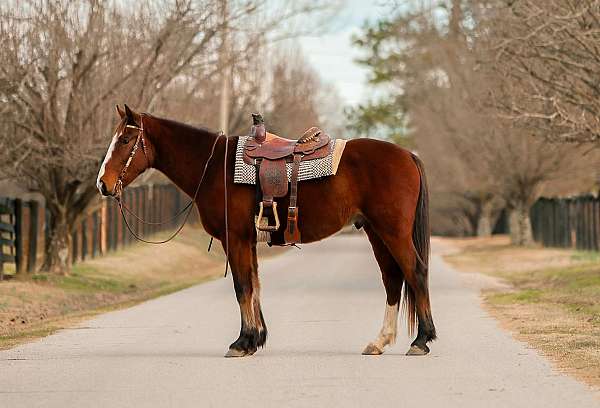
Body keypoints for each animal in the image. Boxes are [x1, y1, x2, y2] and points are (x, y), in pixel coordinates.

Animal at [97, 104, 436, 356]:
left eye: (124, 140)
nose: (102, 183)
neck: (215, 167)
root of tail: (407, 155)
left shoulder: (234, 239)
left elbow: (242, 287)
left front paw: (242, 342)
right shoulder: (248, 240)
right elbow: (254, 286)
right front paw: (255, 339)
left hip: (393, 232)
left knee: (416, 272)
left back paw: (422, 340)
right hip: (376, 232)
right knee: (393, 280)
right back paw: (380, 341)